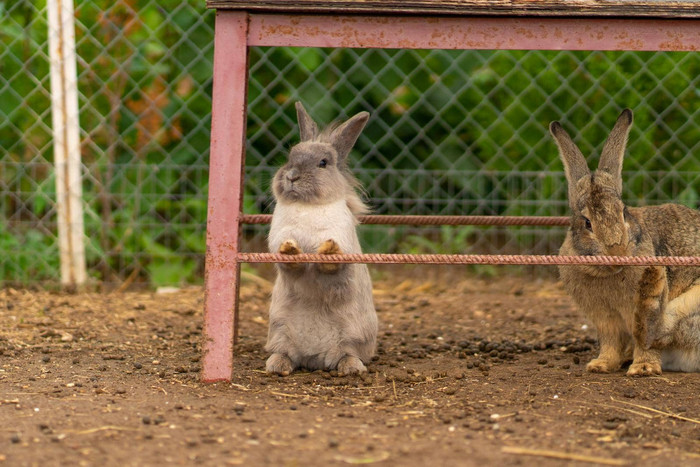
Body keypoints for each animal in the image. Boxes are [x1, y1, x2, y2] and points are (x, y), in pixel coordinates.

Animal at [266, 102, 378, 376]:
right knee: (285, 353)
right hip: (280, 331)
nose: (292, 176)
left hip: (353, 337)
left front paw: (327, 249)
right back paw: (277, 366)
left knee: (347, 354)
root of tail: (313, 358)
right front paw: (291, 249)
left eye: (323, 163)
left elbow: (332, 264)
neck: (308, 207)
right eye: (290, 156)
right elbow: (288, 260)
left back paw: (352, 369)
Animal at [548, 109, 700, 376]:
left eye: (623, 212)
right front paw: (601, 365)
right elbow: (610, 342)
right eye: (587, 222)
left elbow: (645, 345)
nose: (617, 250)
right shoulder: (604, 318)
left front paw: (643, 368)